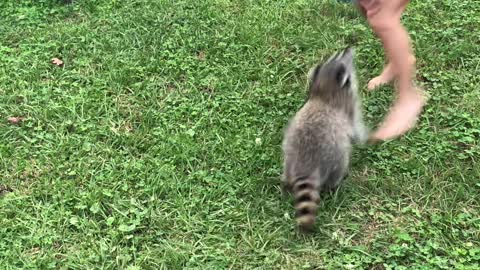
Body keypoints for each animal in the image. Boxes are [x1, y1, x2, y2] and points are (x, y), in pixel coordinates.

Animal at [282, 47, 368, 231]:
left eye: (334, 56)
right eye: (341, 58)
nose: (349, 48)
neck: (324, 90)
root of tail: (306, 165)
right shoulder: (350, 106)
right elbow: (356, 129)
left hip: (288, 152)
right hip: (335, 155)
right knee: (341, 163)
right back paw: (337, 182)